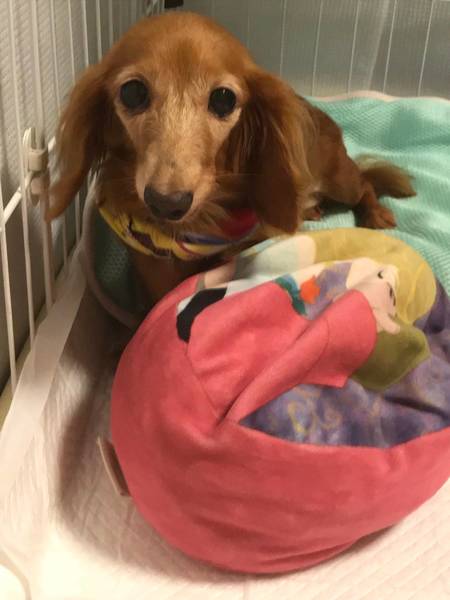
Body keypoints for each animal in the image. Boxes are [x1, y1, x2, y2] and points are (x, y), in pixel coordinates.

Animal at [48, 11, 415, 307]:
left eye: (223, 99)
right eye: (132, 92)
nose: (168, 203)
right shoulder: (150, 262)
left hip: (340, 177)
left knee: (365, 184)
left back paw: (375, 212)